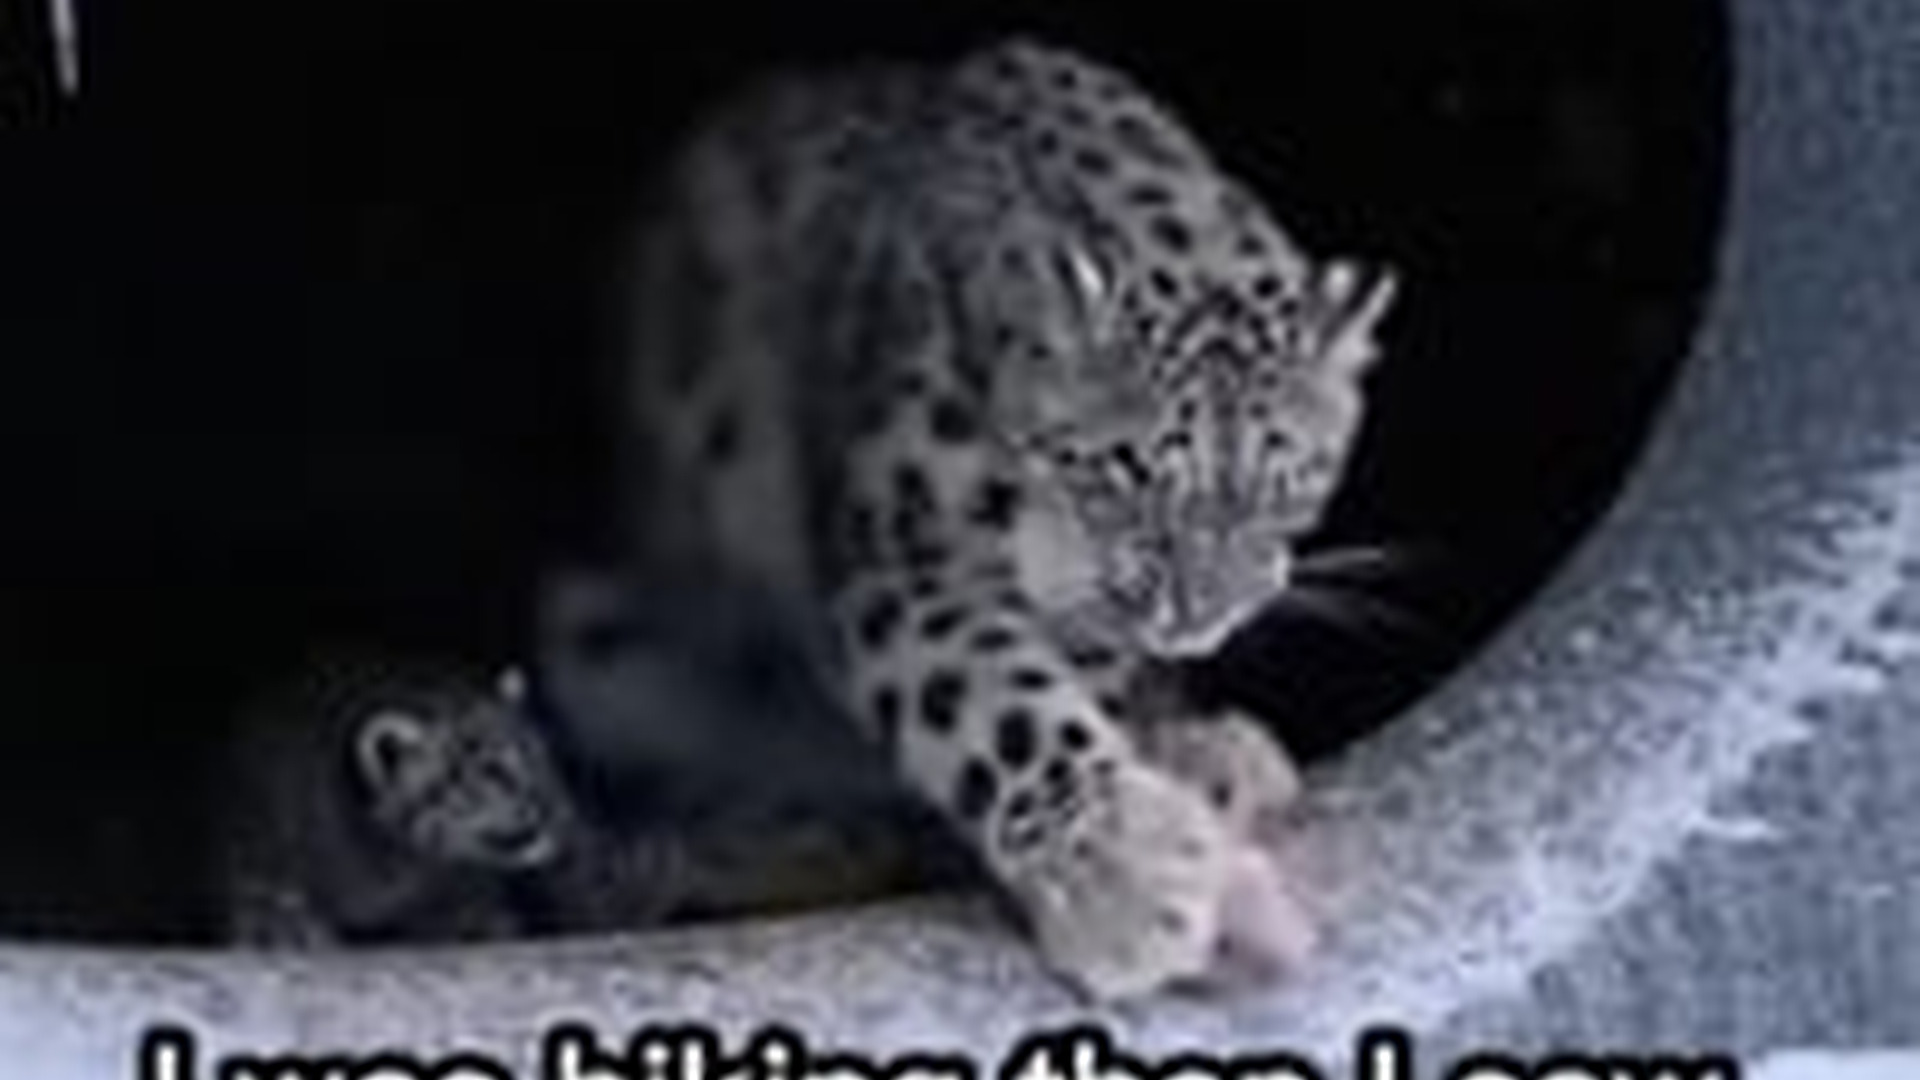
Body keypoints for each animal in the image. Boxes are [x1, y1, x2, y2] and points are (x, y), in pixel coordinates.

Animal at [607, 36, 1398, 999]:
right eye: (1123, 476)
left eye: (1286, 487)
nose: (1196, 622)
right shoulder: (908, 548)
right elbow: (994, 700)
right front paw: (1131, 882)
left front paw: (1174, 763)